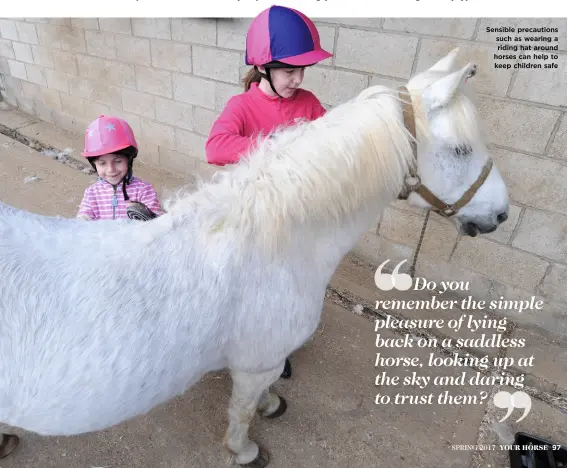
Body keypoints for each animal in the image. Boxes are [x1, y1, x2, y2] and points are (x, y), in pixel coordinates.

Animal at [0, 49, 506, 466]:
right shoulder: (256, 363)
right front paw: (244, 449)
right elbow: (242, 410)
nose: (501, 213)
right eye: (460, 149)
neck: (270, 241)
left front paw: (269, 404)